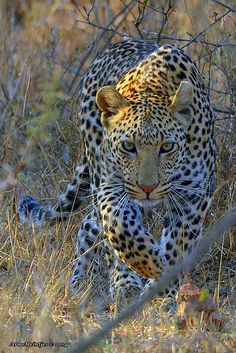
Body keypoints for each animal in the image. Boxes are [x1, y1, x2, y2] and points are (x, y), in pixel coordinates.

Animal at [18, 40, 216, 302]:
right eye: (128, 146)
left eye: (167, 147)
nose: (148, 187)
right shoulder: (111, 186)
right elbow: (119, 227)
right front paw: (145, 268)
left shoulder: (193, 194)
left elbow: (176, 245)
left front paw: (163, 293)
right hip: (97, 174)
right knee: (98, 226)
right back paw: (92, 282)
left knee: (90, 223)